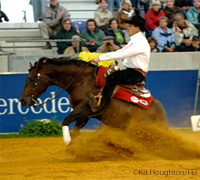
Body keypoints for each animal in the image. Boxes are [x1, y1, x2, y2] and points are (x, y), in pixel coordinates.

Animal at [19, 57, 167, 146]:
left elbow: (66, 120)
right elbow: (75, 130)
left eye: (31, 79)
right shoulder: (84, 115)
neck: (82, 81)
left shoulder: (83, 108)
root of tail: (159, 109)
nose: (22, 100)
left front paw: (67, 141)